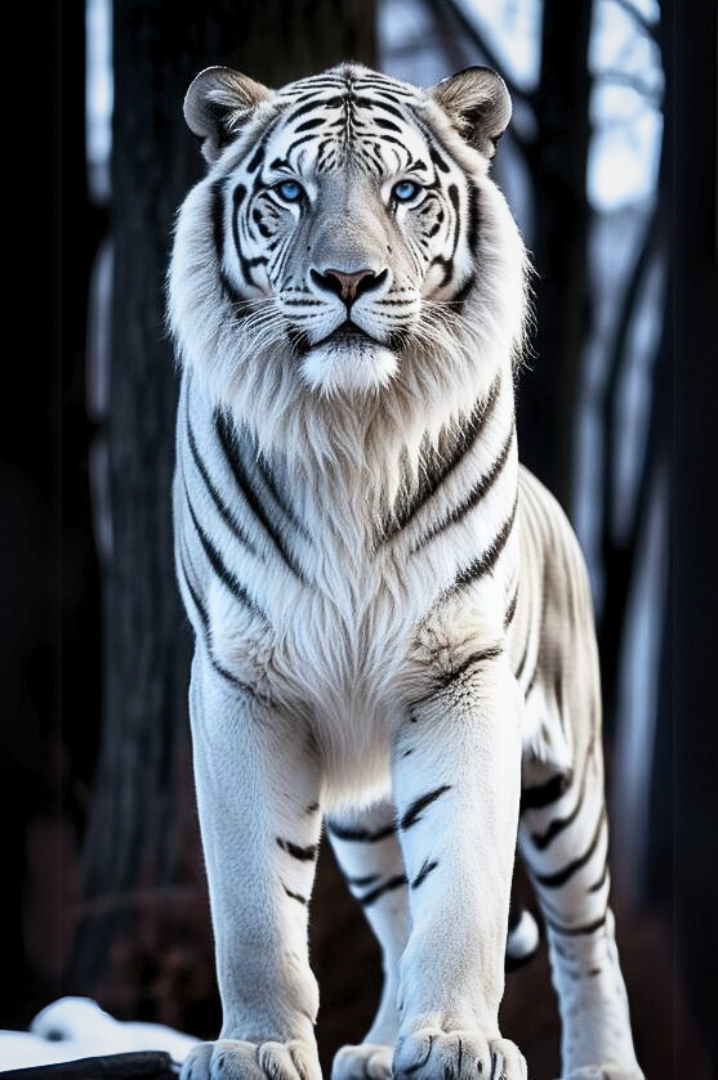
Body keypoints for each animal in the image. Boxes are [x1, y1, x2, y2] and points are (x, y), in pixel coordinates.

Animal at [168, 61, 644, 1080]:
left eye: (406, 191)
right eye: (290, 191)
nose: (349, 279)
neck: (352, 429)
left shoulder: (460, 674)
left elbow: (460, 888)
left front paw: (459, 1042)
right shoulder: (240, 681)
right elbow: (254, 906)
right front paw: (254, 1047)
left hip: (569, 790)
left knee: (588, 937)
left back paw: (601, 1065)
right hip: (362, 813)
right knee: (391, 921)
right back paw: (379, 1049)